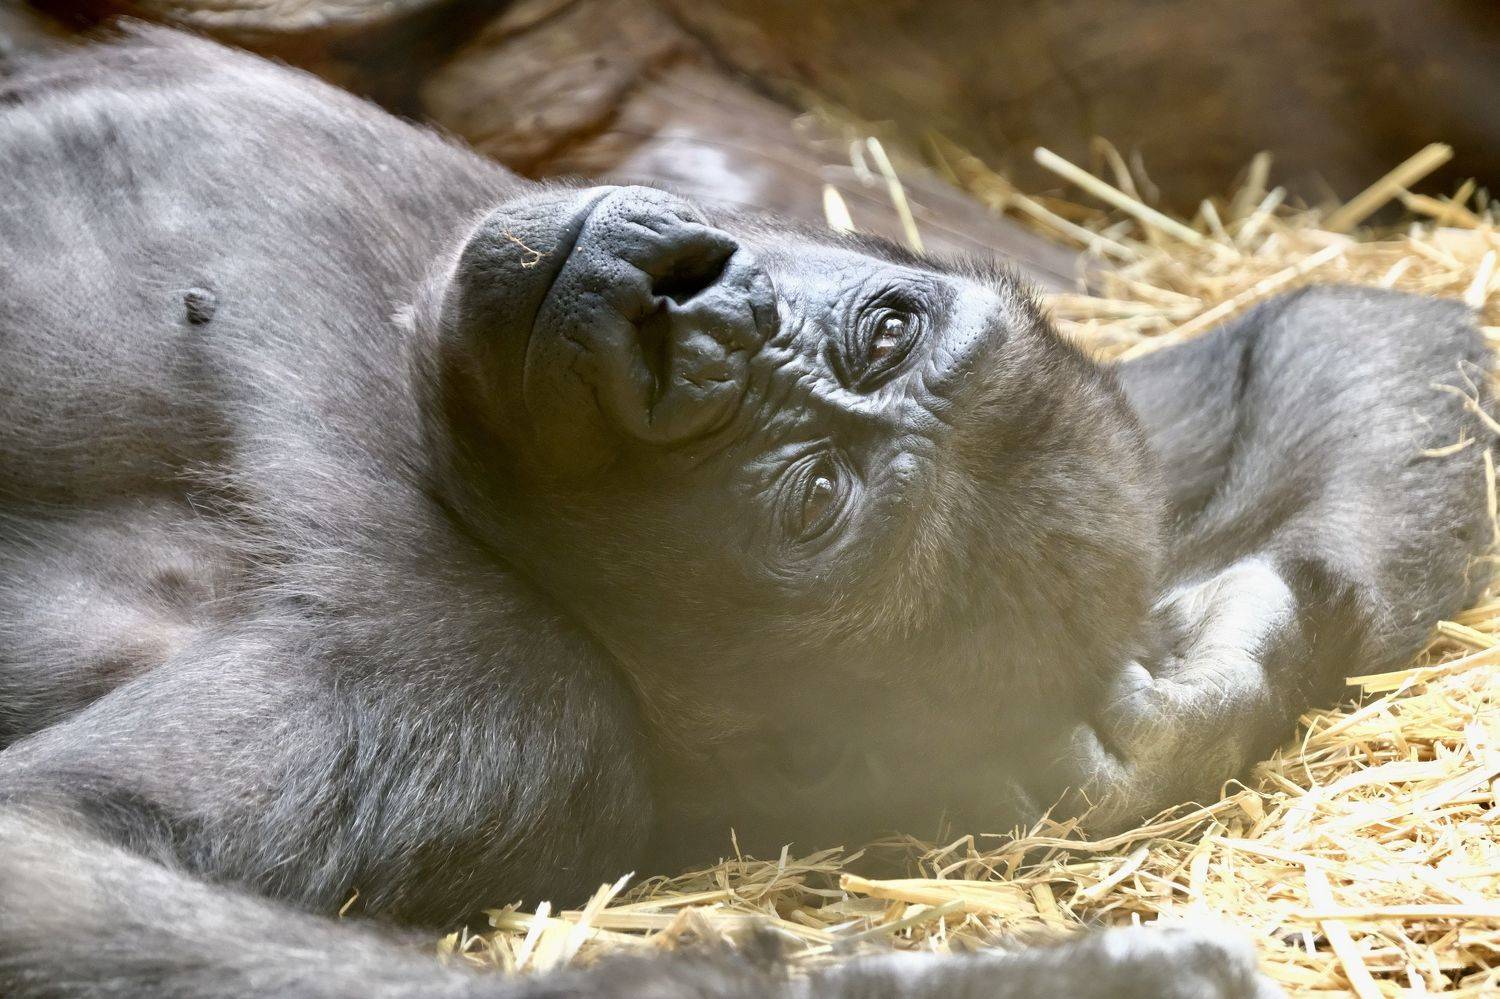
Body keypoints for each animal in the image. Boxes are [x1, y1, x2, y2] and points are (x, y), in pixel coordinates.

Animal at [0, 24, 1486, 999]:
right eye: (886, 330)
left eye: (813, 497)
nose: (693, 317)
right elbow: (1332, 335)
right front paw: (1243, 640)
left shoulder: (482, 700)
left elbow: (49, 862)